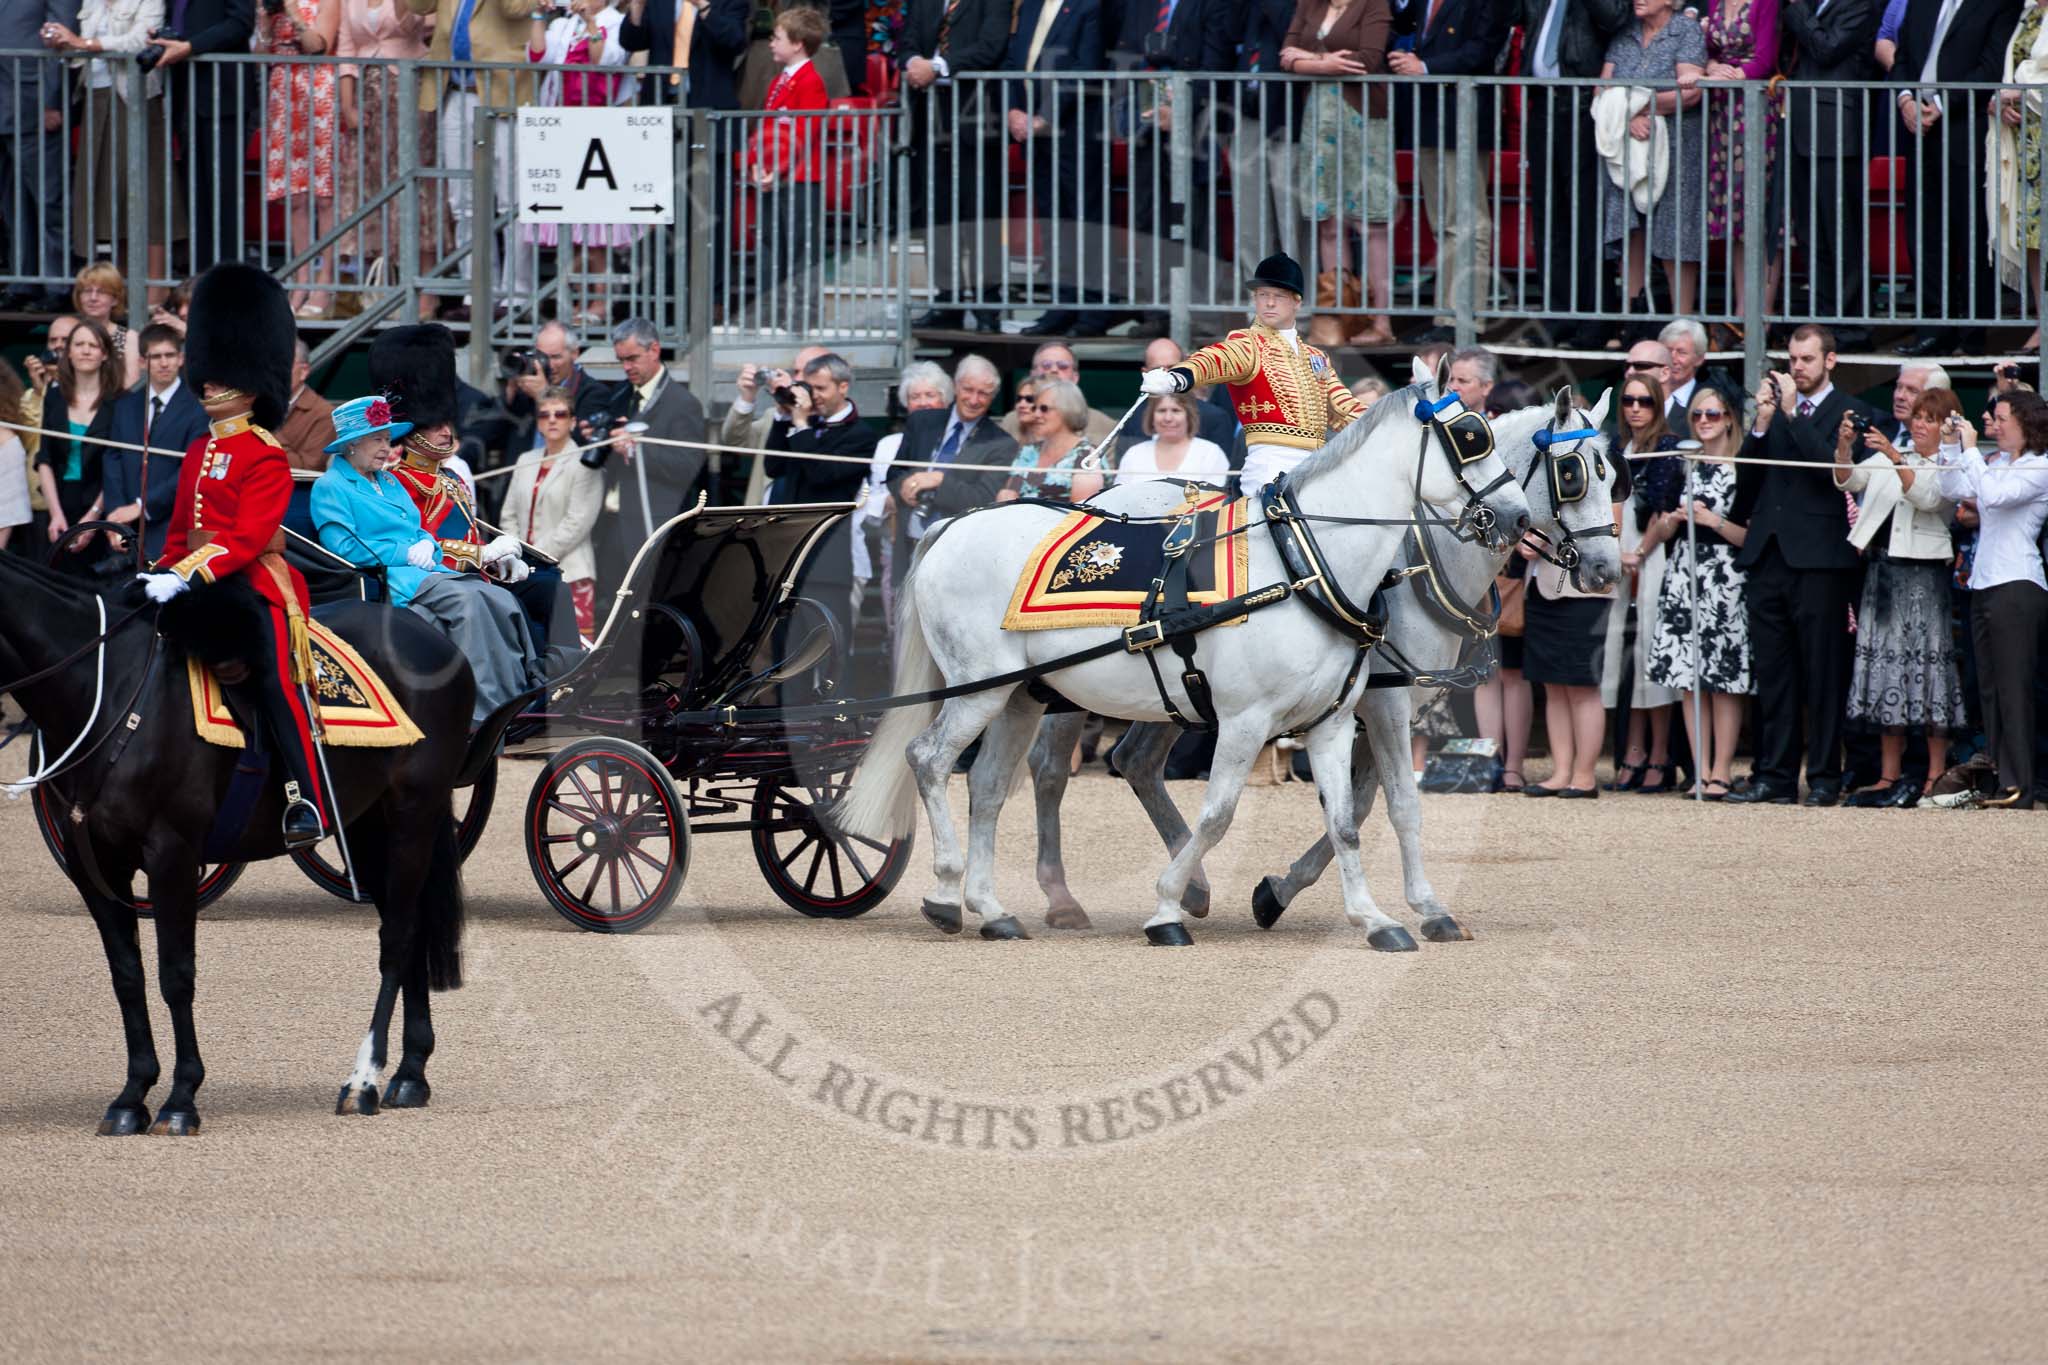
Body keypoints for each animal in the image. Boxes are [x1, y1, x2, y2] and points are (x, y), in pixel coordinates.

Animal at [2, 548, 479, 1137]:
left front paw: (181, 1098)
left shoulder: (172, 855)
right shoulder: (95, 866)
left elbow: (175, 975)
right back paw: (409, 1074)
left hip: (413, 814)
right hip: (369, 828)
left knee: (397, 938)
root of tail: (435, 639)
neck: (108, 689)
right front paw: (132, 1095)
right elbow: (127, 978)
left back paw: (363, 1080)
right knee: (407, 932)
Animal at [831, 376, 1523, 949]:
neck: (1303, 564)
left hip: (1020, 695)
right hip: (978, 689)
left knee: (990, 785)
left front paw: (1375, 920)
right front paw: (1167, 908)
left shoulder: (1329, 723)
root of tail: (956, 523)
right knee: (930, 760)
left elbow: (1345, 822)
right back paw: (948, 894)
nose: (1515, 518)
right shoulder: (1249, 721)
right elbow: (1217, 816)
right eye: (1471, 438)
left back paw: (992, 908)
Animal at [1032, 384, 1622, 941]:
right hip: (1081, 684)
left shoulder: (1374, 708)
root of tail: (1104, 493)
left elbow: (1356, 805)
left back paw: (1190, 885)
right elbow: (1395, 803)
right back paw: (1064, 898)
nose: (1605, 571)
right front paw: (1425, 907)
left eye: (1615, 477)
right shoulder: (1384, 702)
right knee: (1050, 768)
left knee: (1135, 760)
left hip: (1175, 689)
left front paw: (1279, 892)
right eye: (1572, 473)